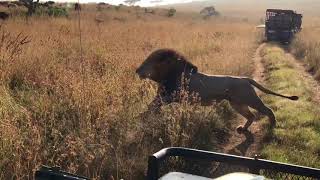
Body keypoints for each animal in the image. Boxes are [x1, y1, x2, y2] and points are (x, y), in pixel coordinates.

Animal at [136, 48, 298, 133]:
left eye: (149, 62)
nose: (137, 70)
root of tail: (245, 78)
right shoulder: (165, 97)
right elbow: (152, 107)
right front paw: (146, 117)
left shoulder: (169, 97)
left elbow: (151, 106)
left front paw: (142, 118)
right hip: (237, 104)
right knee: (251, 116)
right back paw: (242, 129)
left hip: (250, 99)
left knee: (268, 110)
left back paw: (272, 126)